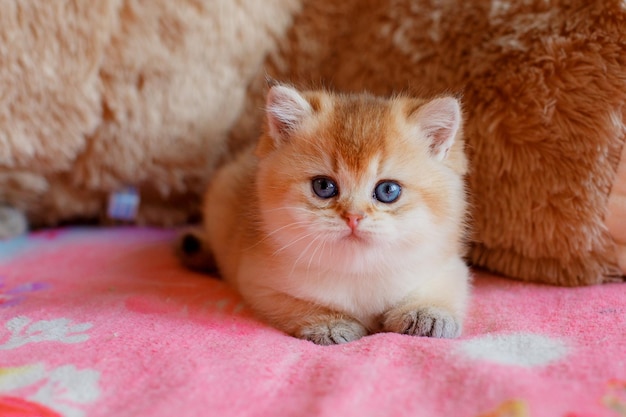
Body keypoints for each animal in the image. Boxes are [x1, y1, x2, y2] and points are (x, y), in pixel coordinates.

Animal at [179, 84, 468, 344]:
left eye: (388, 190)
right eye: (323, 187)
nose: (353, 217)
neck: (358, 269)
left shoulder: (446, 265)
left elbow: (441, 287)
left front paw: (427, 313)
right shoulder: (258, 283)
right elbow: (298, 304)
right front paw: (330, 323)